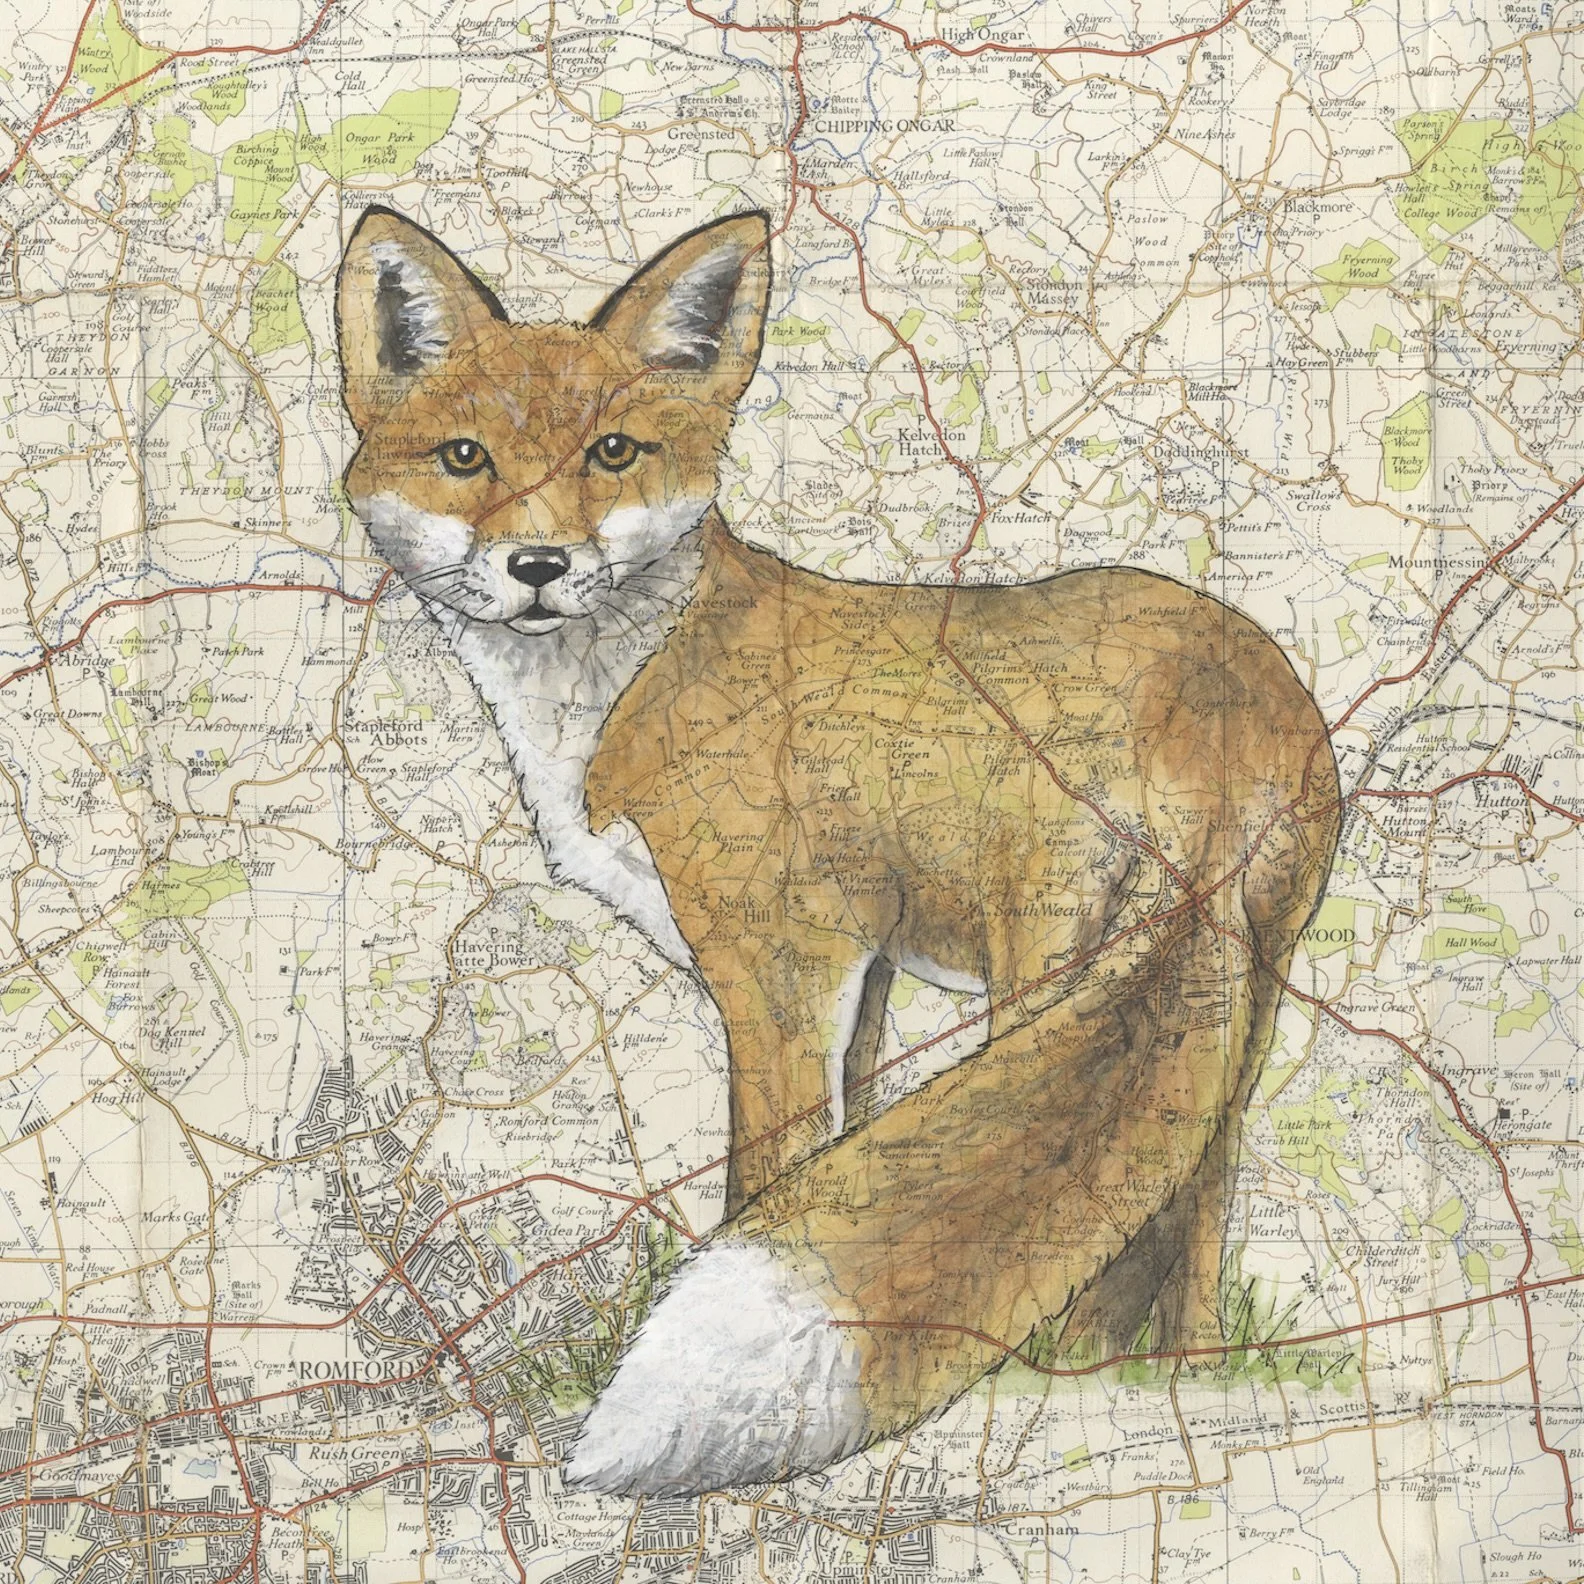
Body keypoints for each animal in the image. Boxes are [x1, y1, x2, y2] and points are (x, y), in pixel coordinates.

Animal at [335, 205, 1340, 1496]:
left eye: (613, 453)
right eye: (466, 459)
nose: (540, 569)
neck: (632, 681)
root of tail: (1211, 704)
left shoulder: (780, 968)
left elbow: (770, 1180)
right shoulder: (860, 978)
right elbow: (852, 1148)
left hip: (1047, 968)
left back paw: (1045, 1377)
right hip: (1245, 991)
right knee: (1191, 1193)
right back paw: (1173, 1371)